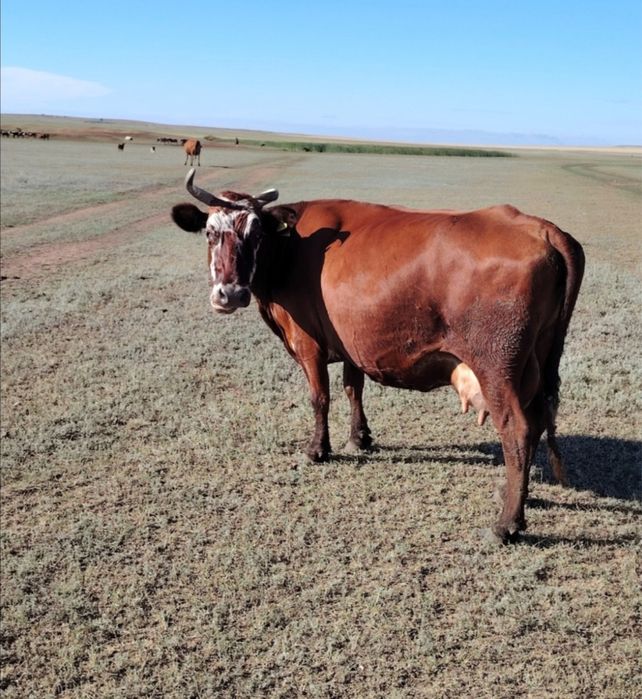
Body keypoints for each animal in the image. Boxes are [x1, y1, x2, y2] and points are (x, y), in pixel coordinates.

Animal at [171, 169, 585, 543]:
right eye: (210, 233)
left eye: (255, 234)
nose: (230, 293)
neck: (291, 247)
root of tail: (542, 228)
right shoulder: (352, 341)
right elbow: (353, 388)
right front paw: (360, 437)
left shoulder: (307, 343)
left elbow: (319, 397)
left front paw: (318, 449)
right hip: (535, 363)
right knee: (537, 422)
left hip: (497, 367)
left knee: (518, 430)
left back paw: (507, 524)